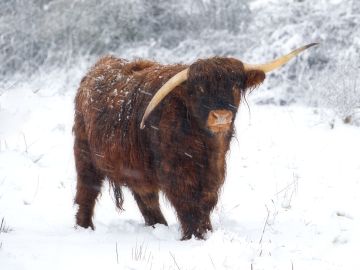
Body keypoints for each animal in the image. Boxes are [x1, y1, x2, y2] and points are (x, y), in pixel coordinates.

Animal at [74, 43, 318, 239]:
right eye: (200, 88)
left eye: (234, 86)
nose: (221, 116)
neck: (206, 144)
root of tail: (97, 67)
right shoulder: (177, 170)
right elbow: (188, 202)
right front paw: (195, 236)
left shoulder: (214, 171)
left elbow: (206, 201)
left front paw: (207, 232)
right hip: (85, 154)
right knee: (87, 190)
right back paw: (84, 228)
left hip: (135, 165)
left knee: (146, 197)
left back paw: (158, 226)